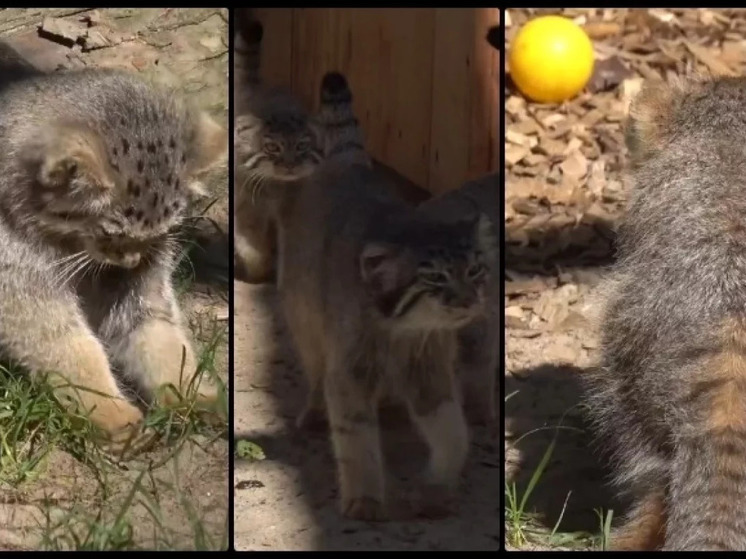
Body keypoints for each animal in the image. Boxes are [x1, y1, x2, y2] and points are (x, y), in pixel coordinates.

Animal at [0, 49, 227, 456]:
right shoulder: (22, 289)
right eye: (111, 233)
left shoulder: (137, 287)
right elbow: (72, 351)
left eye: (160, 235)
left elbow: (162, 338)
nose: (132, 261)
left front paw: (192, 393)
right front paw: (110, 414)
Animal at [232, 14, 320, 284]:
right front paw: (260, 270)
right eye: (272, 147)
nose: (290, 165)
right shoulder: (249, 206)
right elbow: (252, 246)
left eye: (302, 146)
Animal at [276, 72, 492, 524]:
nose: (468, 303)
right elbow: (356, 438)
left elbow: (454, 434)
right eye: (436, 279)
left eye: (474, 272)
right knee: (315, 367)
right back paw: (315, 410)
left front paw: (435, 490)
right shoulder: (348, 372)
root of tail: (349, 165)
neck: (404, 330)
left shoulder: (431, 373)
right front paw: (365, 498)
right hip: (303, 314)